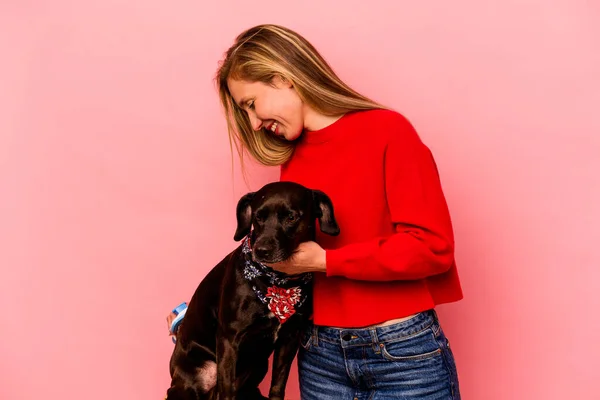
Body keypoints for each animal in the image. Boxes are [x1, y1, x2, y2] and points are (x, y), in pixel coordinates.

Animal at [166, 182, 340, 400]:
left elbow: (277, 386)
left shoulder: (289, 339)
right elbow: (227, 390)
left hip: (259, 365)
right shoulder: (229, 339)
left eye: (291, 217)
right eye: (258, 217)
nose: (261, 250)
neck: (278, 286)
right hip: (194, 378)